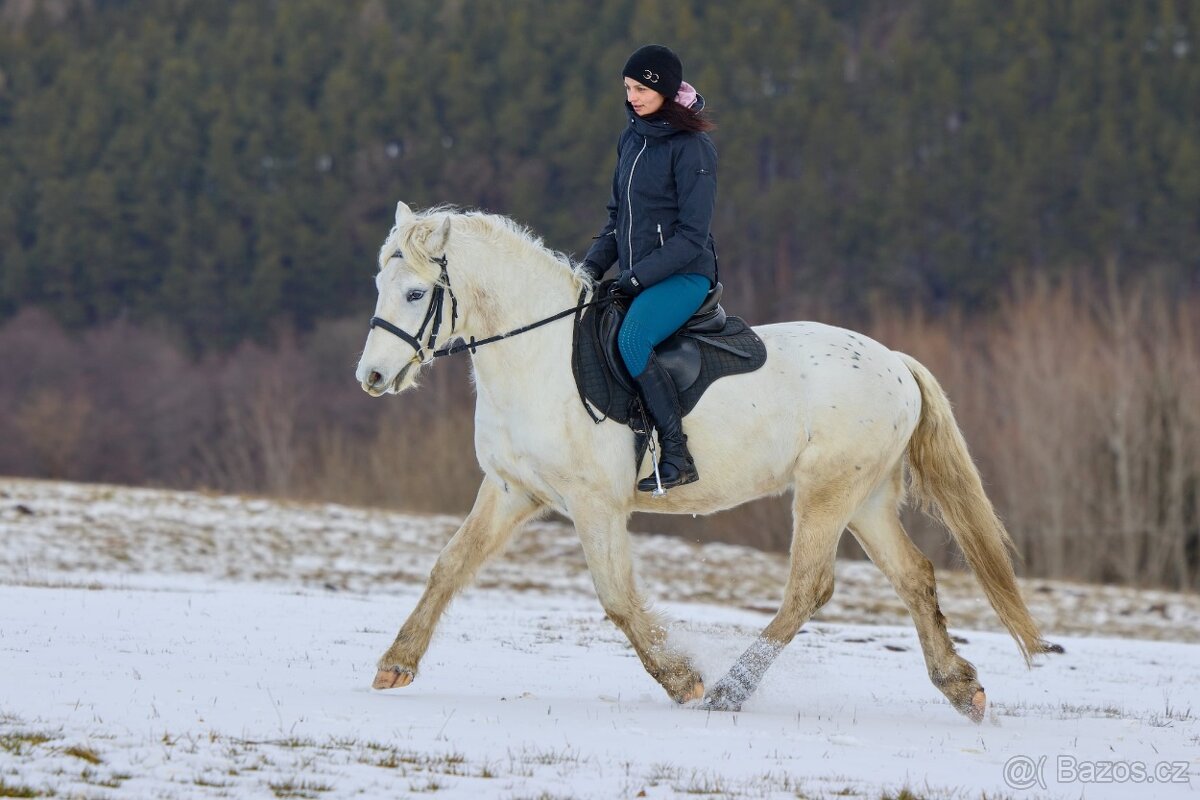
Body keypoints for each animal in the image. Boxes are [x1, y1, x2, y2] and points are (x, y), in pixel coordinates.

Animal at [355, 202, 1043, 721]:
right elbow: (448, 567)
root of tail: (895, 362)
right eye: (379, 287)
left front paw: (680, 679)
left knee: (808, 589)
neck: (539, 357)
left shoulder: (594, 504)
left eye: (415, 292)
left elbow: (617, 597)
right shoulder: (510, 491)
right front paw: (396, 665)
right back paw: (962, 688)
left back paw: (728, 693)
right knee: (914, 577)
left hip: (826, 492)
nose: (373, 378)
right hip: (865, 499)